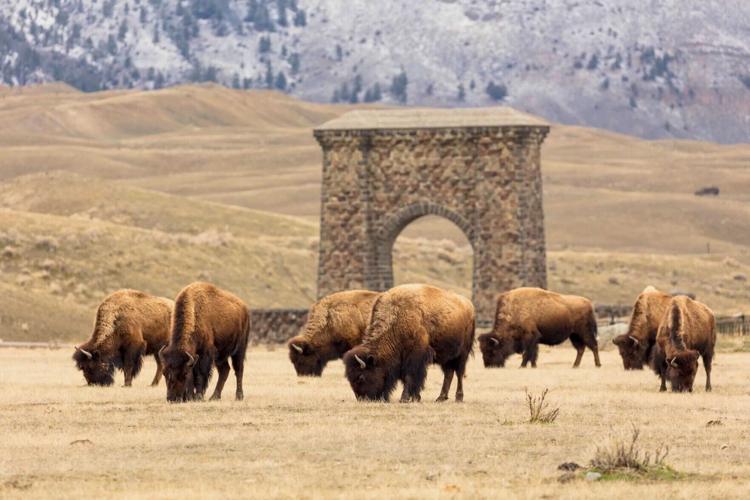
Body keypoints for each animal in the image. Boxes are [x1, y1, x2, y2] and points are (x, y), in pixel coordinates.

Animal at [343, 284, 475, 403]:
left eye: (361, 377)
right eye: (349, 378)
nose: (362, 399)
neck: (397, 316)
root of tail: (469, 306)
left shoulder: (414, 357)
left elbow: (410, 376)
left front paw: (405, 398)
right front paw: (416, 398)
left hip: (462, 354)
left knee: (459, 373)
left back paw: (459, 397)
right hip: (446, 356)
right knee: (448, 373)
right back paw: (441, 398)